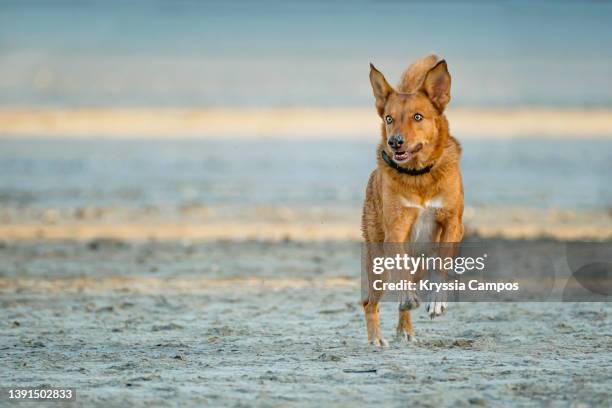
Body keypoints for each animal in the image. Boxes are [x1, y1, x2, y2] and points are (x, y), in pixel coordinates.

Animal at [358, 54, 464, 346]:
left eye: (418, 117)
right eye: (389, 118)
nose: (395, 142)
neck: (420, 176)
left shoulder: (453, 222)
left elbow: (443, 262)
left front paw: (437, 301)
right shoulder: (397, 228)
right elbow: (401, 270)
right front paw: (407, 296)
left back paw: (405, 329)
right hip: (377, 259)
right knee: (370, 302)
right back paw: (376, 339)